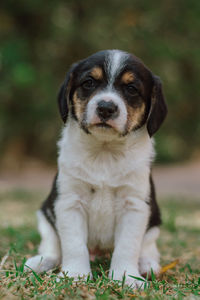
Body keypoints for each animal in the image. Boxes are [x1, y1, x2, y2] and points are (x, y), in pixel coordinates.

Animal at [25, 49, 168, 288]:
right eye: (89, 82)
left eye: (131, 88)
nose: (106, 108)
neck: (105, 151)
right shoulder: (69, 202)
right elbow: (74, 245)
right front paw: (74, 275)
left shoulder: (135, 206)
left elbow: (127, 246)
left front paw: (126, 277)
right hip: (45, 213)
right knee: (53, 245)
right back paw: (41, 261)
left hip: (154, 219)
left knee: (147, 246)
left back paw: (147, 265)